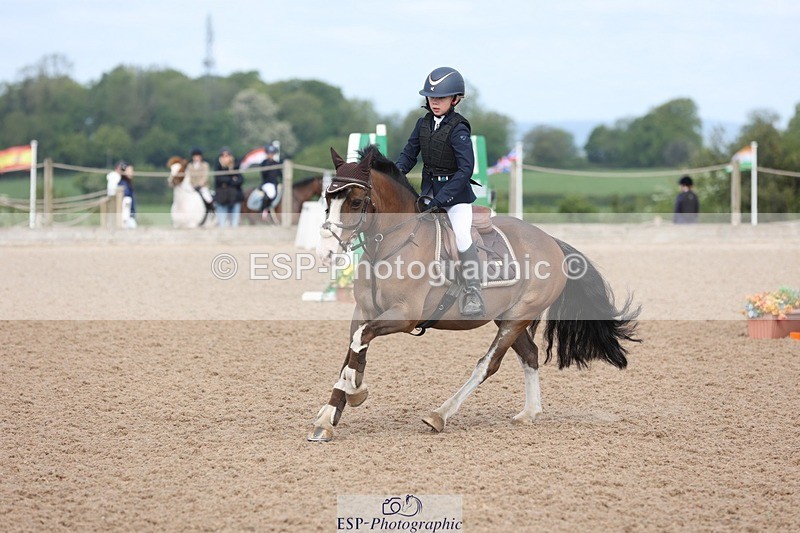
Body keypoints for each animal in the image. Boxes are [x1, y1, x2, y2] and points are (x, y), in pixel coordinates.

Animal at [308, 146, 641, 442]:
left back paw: (439, 415)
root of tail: (551, 241)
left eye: (356, 201)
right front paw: (329, 416)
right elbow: (353, 350)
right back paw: (529, 413)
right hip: (507, 318)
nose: (326, 254)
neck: (391, 246)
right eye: (328, 197)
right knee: (530, 355)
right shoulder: (363, 312)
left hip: (517, 317)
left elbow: (359, 342)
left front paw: (354, 390)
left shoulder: (403, 316)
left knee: (487, 364)